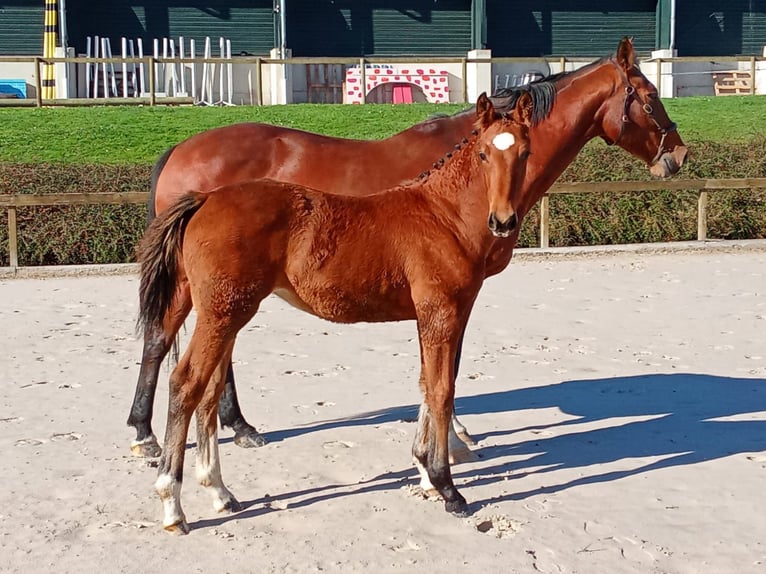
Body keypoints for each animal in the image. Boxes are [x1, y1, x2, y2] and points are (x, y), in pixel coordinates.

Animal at [128, 37, 687, 460]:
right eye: (649, 95)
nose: (678, 154)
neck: (471, 172)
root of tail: (182, 150)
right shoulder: (448, 295)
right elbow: (446, 369)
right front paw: (454, 439)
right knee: (165, 343)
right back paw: (148, 433)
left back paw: (232, 425)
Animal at [137, 93, 533, 533]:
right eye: (483, 153)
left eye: (525, 152)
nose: (503, 220)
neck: (442, 214)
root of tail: (206, 199)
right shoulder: (441, 310)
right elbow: (441, 390)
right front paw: (447, 487)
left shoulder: (445, 313)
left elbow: (427, 384)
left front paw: (428, 473)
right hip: (221, 312)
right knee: (186, 382)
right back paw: (172, 503)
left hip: (224, 312)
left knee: (208, 387)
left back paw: (220, 492)